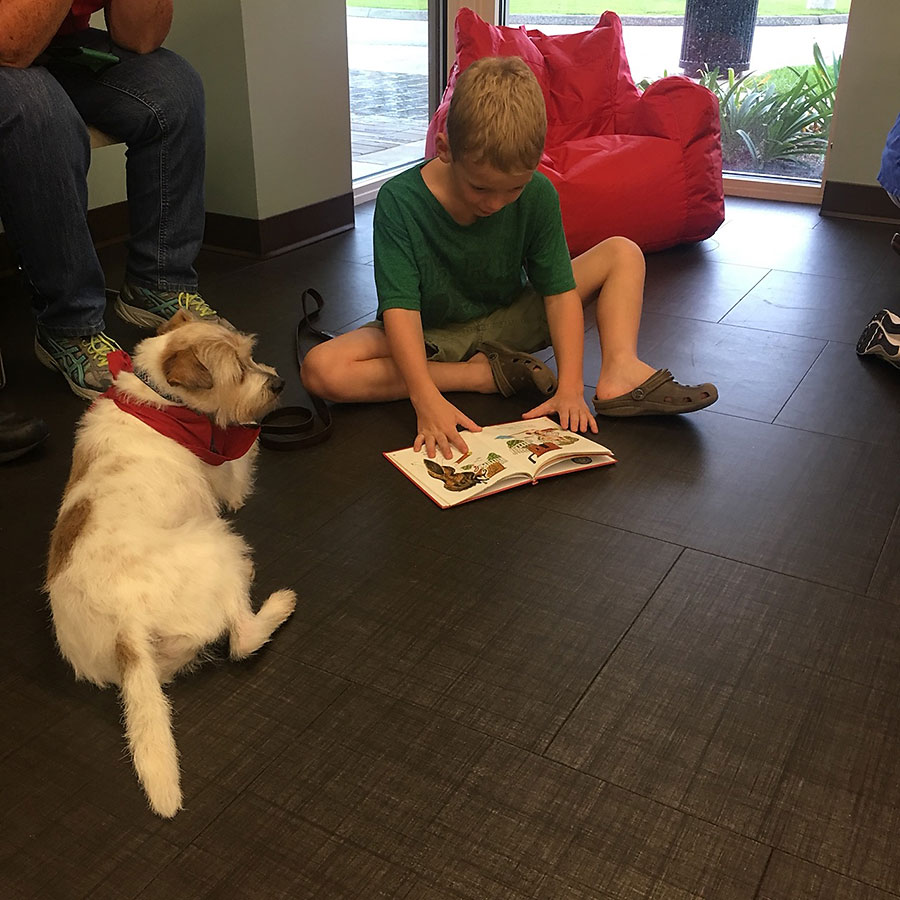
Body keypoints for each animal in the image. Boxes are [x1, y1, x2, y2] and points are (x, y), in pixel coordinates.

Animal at [46, 312, 296, 820]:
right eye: (237, 372)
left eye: (250, 353)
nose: (278, 382)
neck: (162, 401)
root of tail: (124, 629)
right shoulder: (227, 479)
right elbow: (246, 449)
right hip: (220, 544)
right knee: (243, 640)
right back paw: (279, 604)